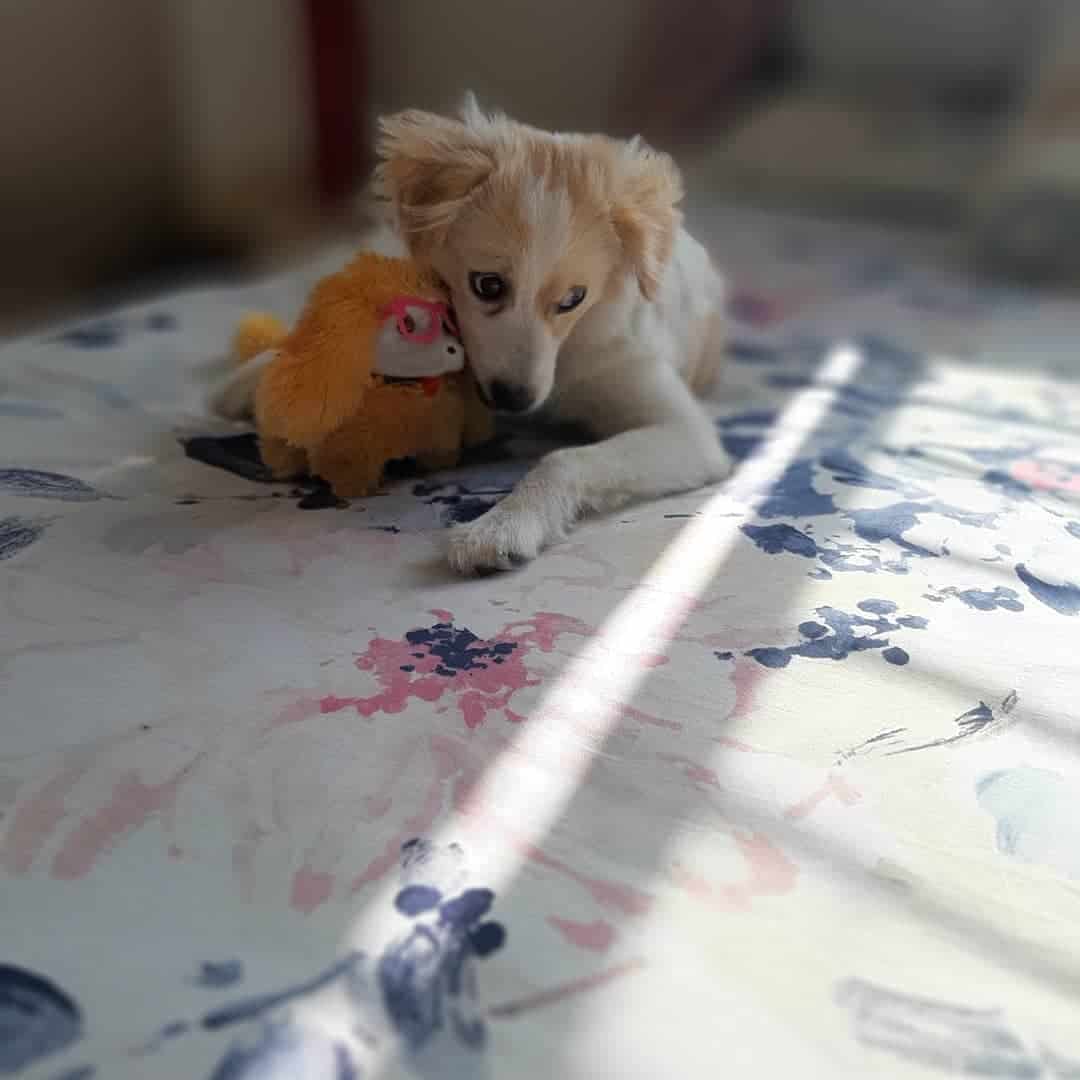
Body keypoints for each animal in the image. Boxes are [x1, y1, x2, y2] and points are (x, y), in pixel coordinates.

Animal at [210, 95, 730, 574]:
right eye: (488, 284)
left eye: (574, 298)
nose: (513, 400)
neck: (569, 351)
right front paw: (259, 378)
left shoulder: (685, 429)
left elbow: (564, 459)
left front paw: (502, 526)